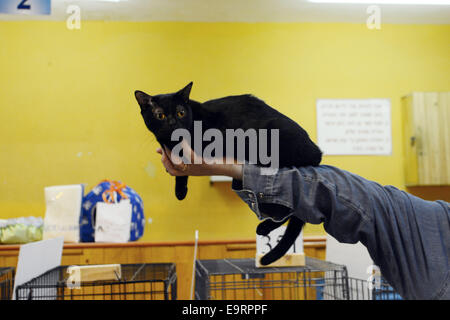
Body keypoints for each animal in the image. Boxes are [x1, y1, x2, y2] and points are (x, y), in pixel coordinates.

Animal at [134, 82, 320, 264]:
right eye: (160, 115)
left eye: (180, 112)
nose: (173, 123)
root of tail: (316, 154)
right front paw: (180, 190)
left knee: (286, 209)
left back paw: (264, 227)